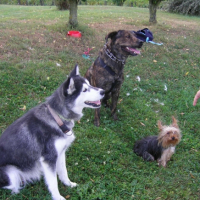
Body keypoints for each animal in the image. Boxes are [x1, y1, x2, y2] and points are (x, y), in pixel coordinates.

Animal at [0, 65, 105, 199]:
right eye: (85, 90)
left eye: (90, 84)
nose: (103, 91)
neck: (57, 117)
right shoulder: (48, 158)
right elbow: (53, 181)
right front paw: (57, 197)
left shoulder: (60, 153)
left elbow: (63, 172)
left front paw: (69, 184)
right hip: (11, 173)